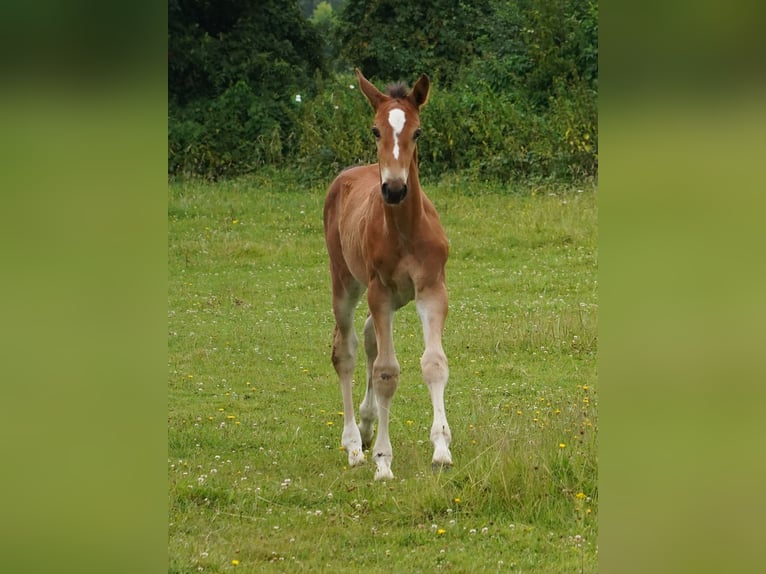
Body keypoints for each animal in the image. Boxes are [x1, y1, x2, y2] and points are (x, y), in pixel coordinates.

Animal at [326, 67, 456, 482]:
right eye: (375, 130)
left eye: (417, 132)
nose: (395, 189)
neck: (404, 230)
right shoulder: (379, 291)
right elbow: (386, 373)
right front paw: (383, 460)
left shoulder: (432, 289)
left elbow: (433, 363)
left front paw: (442, 448)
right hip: (346, 283)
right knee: (346, 351)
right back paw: (354, 444)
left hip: (395, 297)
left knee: (368, 337)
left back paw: (367, 424)